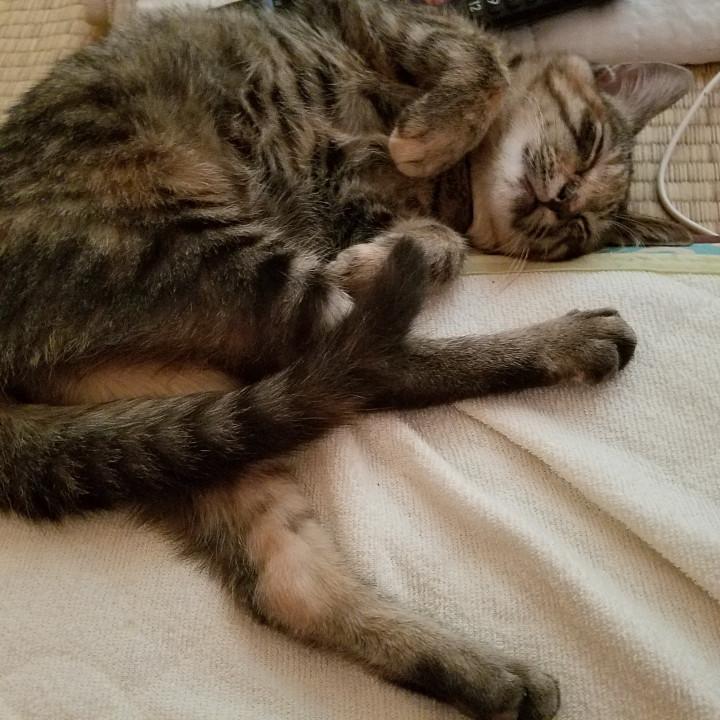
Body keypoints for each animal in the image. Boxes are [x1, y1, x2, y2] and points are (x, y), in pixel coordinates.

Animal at [0, 1, 692, 718]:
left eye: (577, 232)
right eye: (587, 141)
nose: (562, 201)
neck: (447, 193)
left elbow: (439, 234)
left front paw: (397, 236)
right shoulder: (387, 18)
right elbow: (483, 66)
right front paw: (424, 146)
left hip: (202, 397)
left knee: (295, 577)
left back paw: (490, 676)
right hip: (208, 259)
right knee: (374, 367)